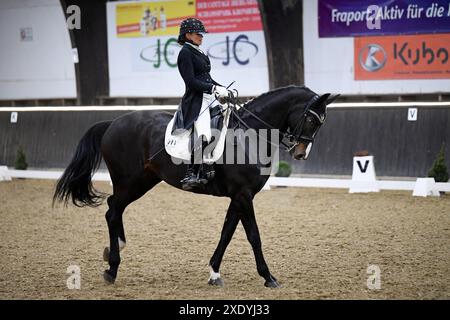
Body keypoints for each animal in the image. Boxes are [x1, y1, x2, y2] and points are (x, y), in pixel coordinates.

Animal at [53, 85, 338, 288]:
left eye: (321, 122)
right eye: (311, 120)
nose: (300, 153)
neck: (251, 135)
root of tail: (113, 123)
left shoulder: (238, 196)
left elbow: (226, 234)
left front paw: (214, 273)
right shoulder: (244, 195)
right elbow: (254, 236)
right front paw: (269, 277)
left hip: (144, 180)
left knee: (115, 209)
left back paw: (114, 253)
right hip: (130, 181)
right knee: (113, 210)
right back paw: (112, 268)